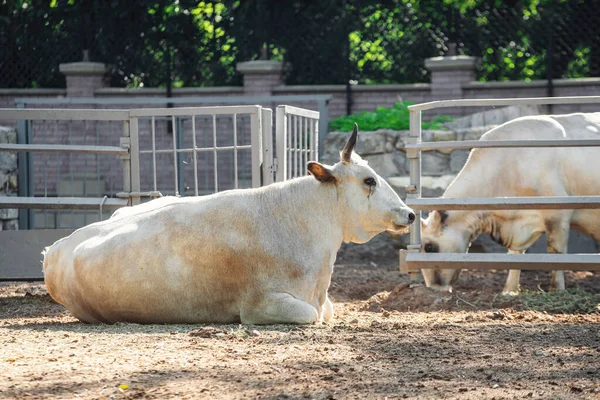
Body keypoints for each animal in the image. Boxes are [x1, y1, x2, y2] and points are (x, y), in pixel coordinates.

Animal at [420, 112, 600, 294]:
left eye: (429, 247)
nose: (432, 288)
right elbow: (515, 255)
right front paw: (509, 291)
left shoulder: (558, 214)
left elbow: (556, 252)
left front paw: (556, 290)